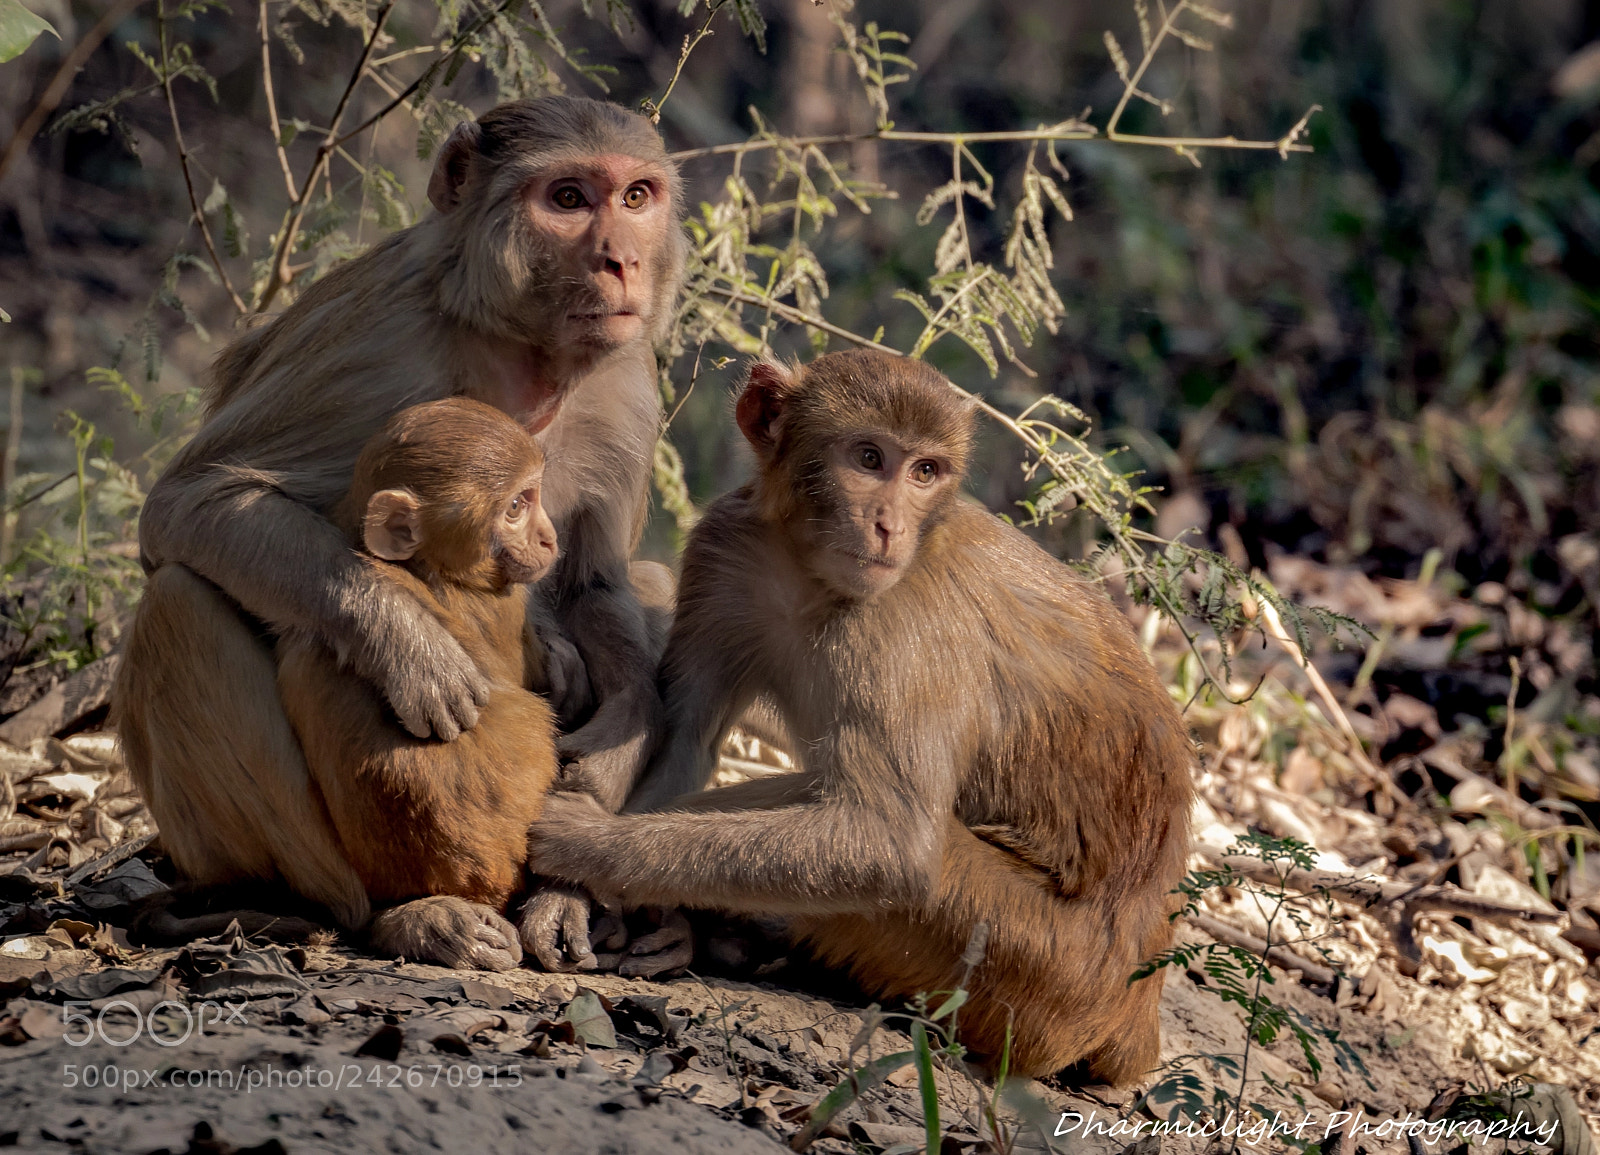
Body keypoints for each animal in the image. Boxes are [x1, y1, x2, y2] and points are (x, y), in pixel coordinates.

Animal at [113, 96, 685, 971]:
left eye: (635, 196)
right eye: (567, 199)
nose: (621, 261)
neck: (518, 348)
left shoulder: (625, 372)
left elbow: (602, 585)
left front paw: (605, 775)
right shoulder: (380, 337)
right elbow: (190, 502)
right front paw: (407, 645)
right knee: (179, 602)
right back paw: (386, 912)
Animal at [525, 349, 1195, 1082]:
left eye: (925, 471)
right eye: (870, 457)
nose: (888, 526)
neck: (807, 570)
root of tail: (1140, 1000)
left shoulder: (903, 624)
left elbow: (889, 845)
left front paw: (579, 844)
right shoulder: (725, 550)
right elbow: (685, 741)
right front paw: (569, 897)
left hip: (1037, 972)